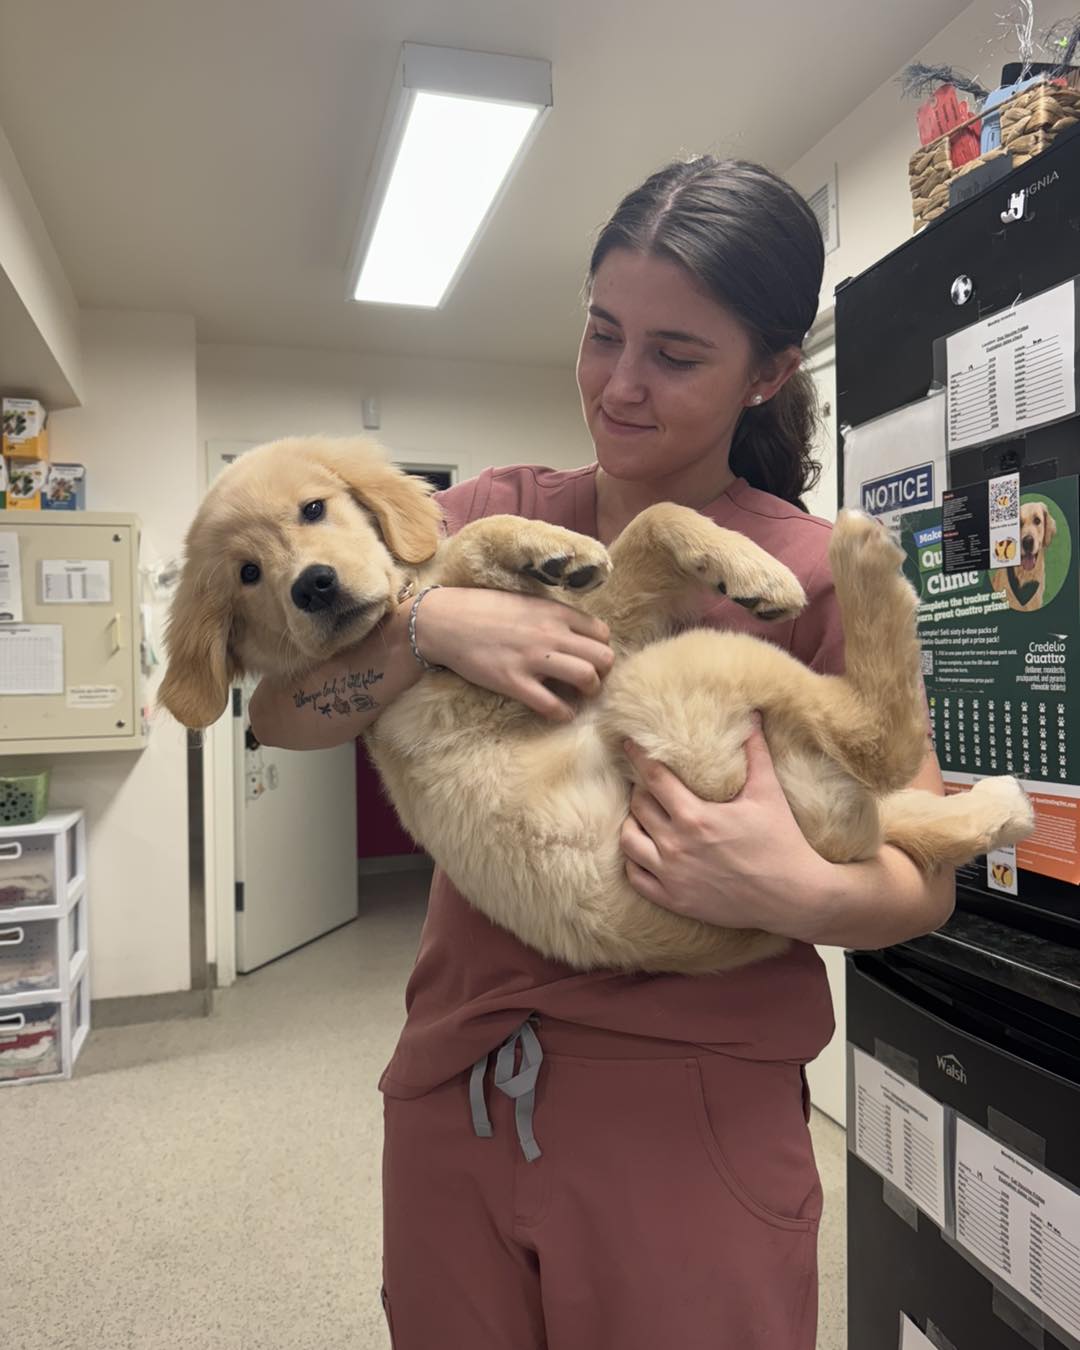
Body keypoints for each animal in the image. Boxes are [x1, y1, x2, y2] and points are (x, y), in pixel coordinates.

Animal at [160, 436, 1033, 975]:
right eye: (246, 574)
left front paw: (736, 561)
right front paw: (547, 545)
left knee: (905, 816)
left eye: (314, 509)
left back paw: (999, 807)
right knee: (882, 743)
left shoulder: (595, 625)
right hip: (686, 674)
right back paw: (865, 556)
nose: (312, 587)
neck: (392, 611)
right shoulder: (553, 660)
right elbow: (479, 541)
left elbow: (647, 521)